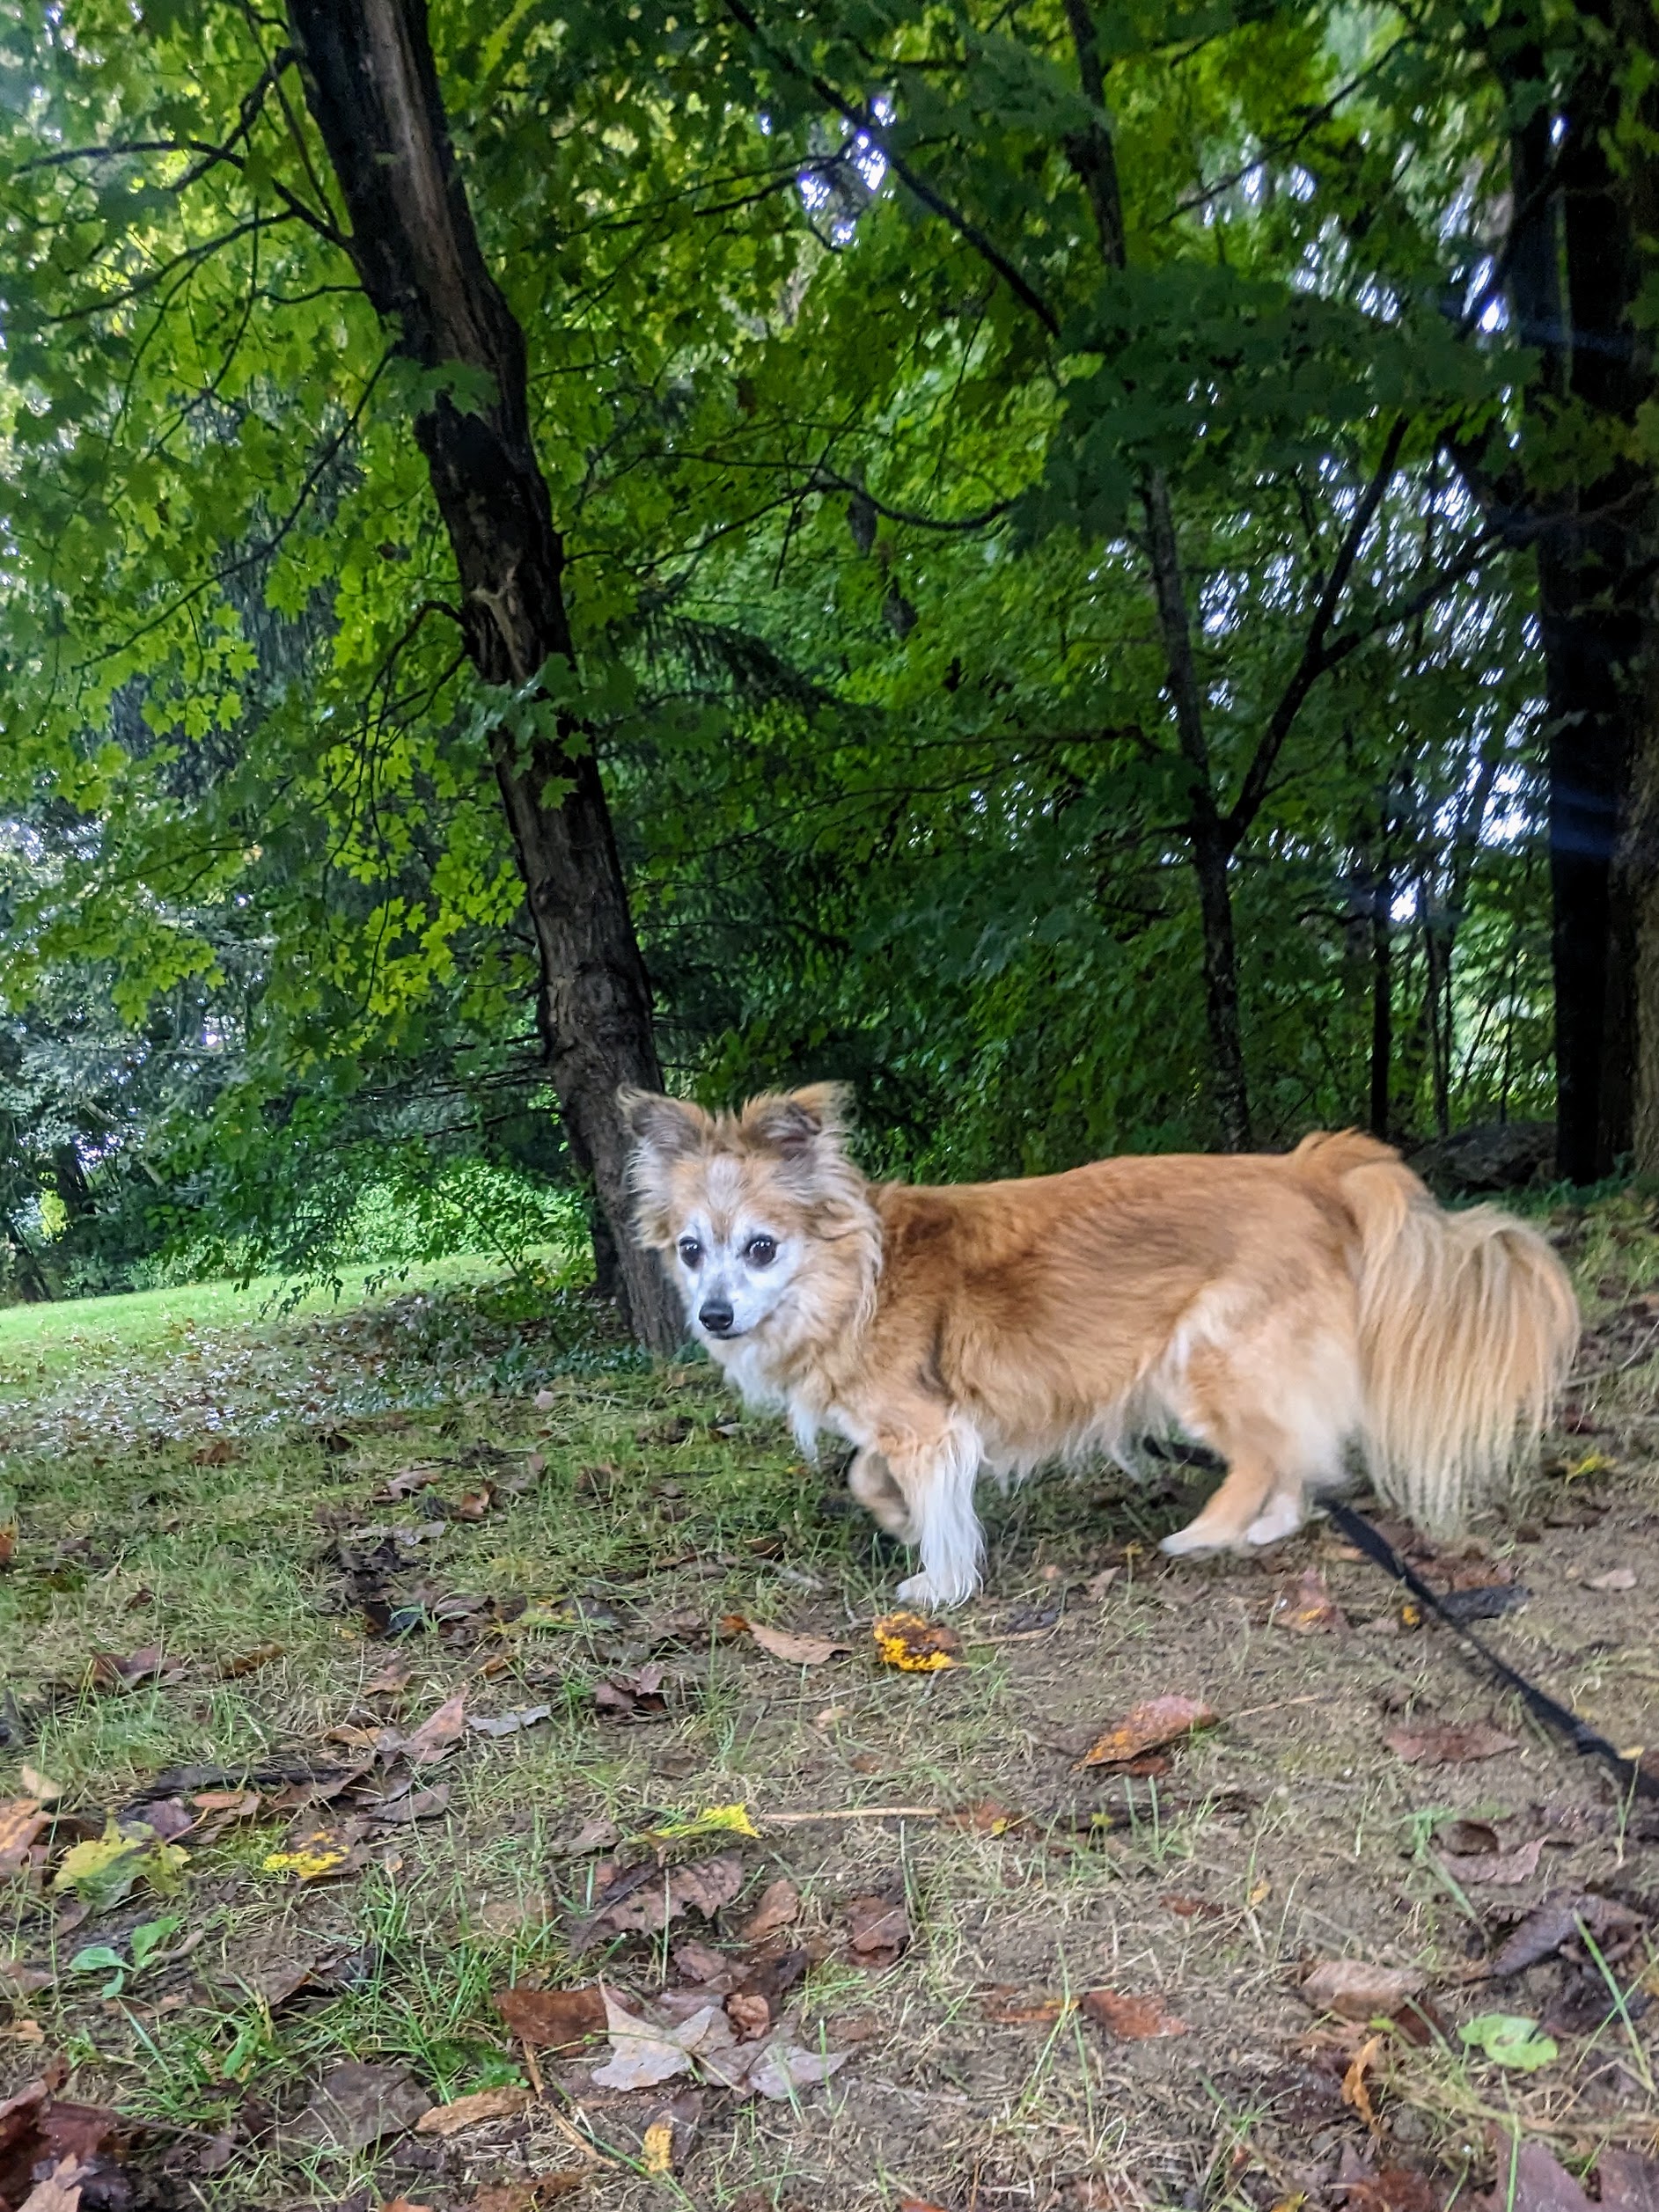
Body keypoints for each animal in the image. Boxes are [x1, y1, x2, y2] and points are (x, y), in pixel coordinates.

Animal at [620, 1083, 1580, 1607]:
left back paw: (1208, 1532)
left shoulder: (930, 1428)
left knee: (1262, 1452)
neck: (856, 1277)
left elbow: (929, 1501)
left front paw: (938, 1578)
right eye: (691, 1251)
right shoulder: (913, 1422)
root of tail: (1305, 1169)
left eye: (760, 1248)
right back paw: (1267, 1524)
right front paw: (895, 1517)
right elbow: (866, 1472)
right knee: (1289, 1450)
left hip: (1205, 1358)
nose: (712, 1316)